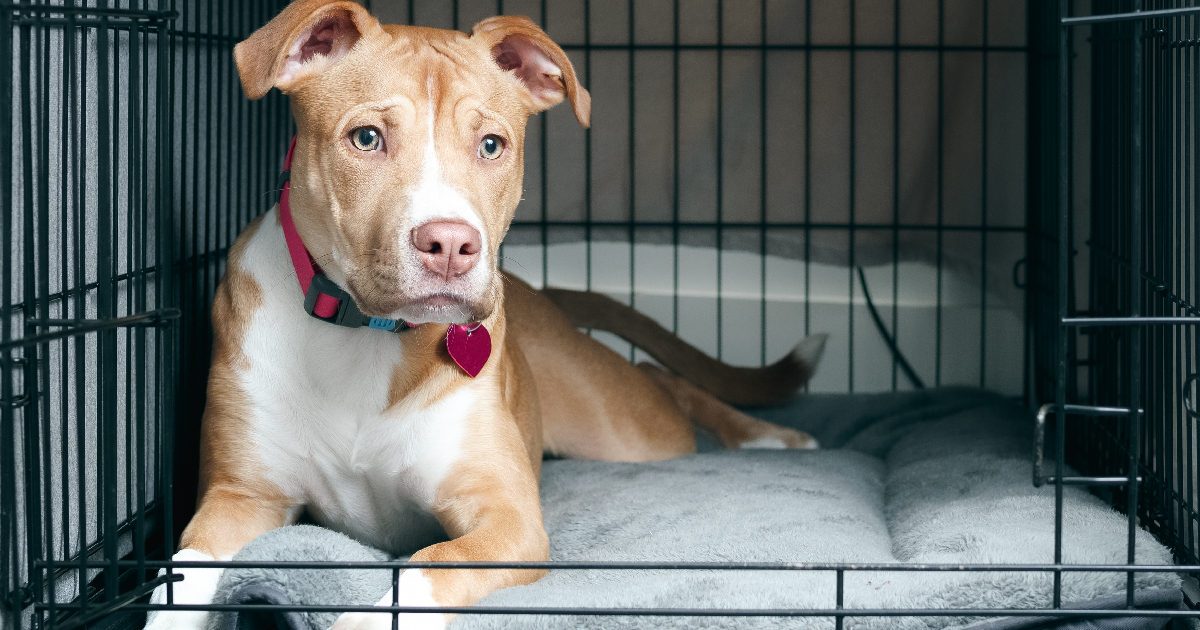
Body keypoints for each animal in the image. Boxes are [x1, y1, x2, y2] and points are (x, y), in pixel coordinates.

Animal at [145, 2, 825, 624]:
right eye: (366, 138)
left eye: (491, 145)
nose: (450, 244)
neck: (368, 337)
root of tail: (538, 292)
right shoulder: (236, 500)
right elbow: (177, 578)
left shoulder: (507, 520)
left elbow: (427, 566)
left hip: (625, 430)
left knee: (662, 380)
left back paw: (771, 436)